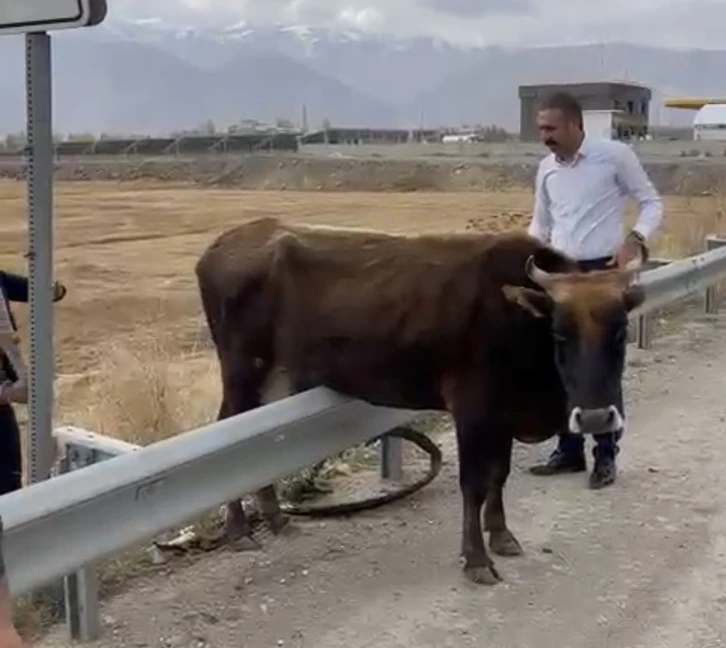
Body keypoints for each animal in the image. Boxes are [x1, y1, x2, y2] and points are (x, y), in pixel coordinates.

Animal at [196, 218, 644, 588]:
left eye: (620, 332)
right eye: (560, 333)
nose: (595, 417)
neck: (515, 320)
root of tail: (222, 243)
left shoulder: (500, 415)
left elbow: (499, 476)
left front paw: (501, 536)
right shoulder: (473, 410)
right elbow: (474, 484)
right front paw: (476, 558)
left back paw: (274, 517)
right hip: (241, 373)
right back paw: (239, 530)